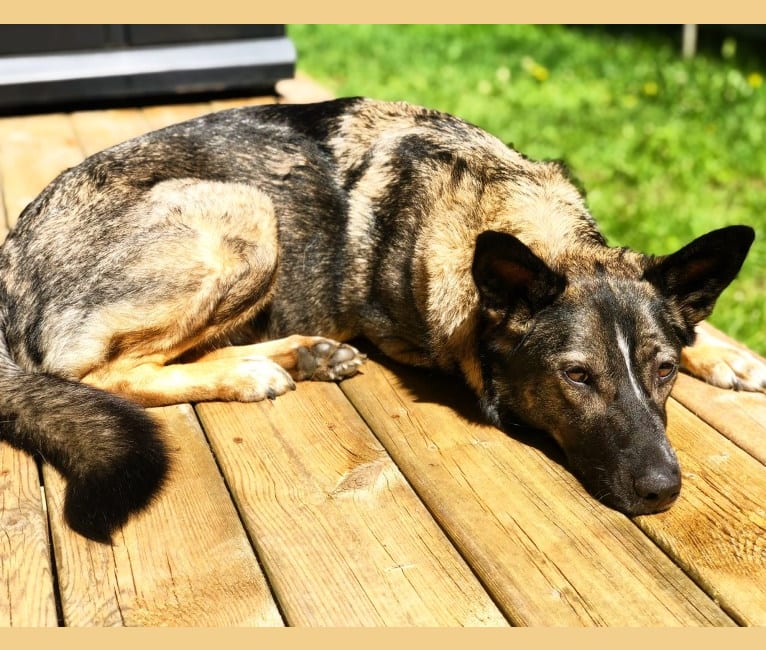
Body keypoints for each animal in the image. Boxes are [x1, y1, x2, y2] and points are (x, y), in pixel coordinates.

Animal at [0, 97, 760, 540]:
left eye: (664, 372)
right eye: (576, 377)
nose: (664, 492)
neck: (506, 207)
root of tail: (9, 267)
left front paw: (728, 354)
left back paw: (300, 353)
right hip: (247, 210)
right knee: (104, 373)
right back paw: (254, 371)